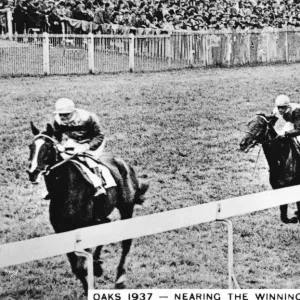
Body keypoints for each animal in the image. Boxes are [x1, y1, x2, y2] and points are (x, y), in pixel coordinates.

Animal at [27, 122, 150, 292]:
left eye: (49, 147)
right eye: (31, 146)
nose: (32, 172)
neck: (66, 190)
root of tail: (124, 163)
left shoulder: (83, 228)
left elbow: (80, 266)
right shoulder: (62, 230)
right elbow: (76, 268)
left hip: (126, 207)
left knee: (126, 242)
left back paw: (120, 277)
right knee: (106, 223)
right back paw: (98, 264)